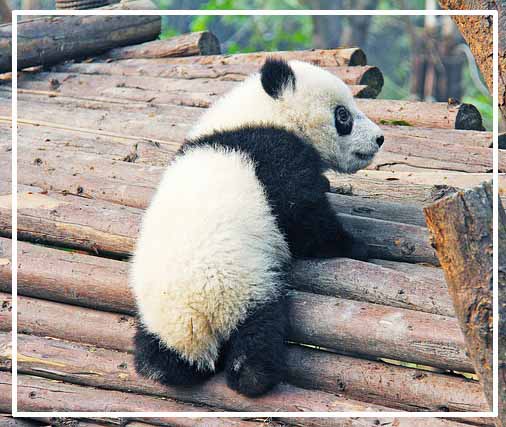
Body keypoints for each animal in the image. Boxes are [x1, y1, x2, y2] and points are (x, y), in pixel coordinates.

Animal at [127, 56, 384, 398]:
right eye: (343, 115)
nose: (379, 138)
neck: (260, 113)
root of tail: (193, 318)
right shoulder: (275, 156)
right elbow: (305, 220)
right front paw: (356, 246)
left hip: (157, 317)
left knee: (157, 355)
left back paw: (160, 365)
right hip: (244, 286)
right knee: (259, 331)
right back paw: (254, 376)